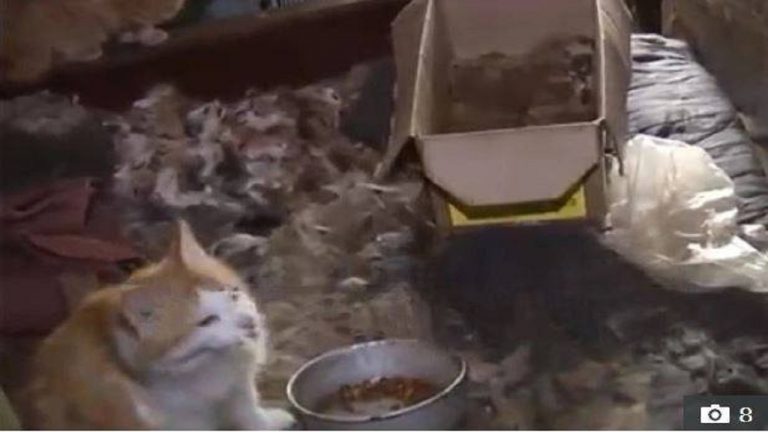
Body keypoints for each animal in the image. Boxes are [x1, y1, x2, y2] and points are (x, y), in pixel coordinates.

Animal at [1, 0, 186, 83]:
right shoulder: (130, 9)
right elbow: (141, 24)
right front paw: (151, 36)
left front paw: (127, 37)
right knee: (61, 54)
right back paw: (89, 51)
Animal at [23, 220, 296, 430]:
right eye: (207, 321)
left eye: (233, 295)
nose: (249, 323)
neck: (208, 366)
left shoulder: (237, 383)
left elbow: (248, 409)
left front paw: (266, 423)